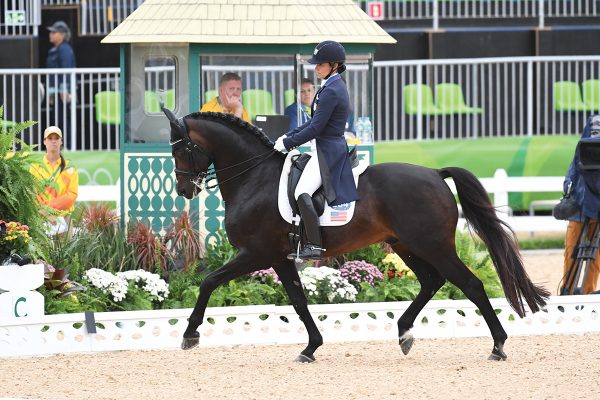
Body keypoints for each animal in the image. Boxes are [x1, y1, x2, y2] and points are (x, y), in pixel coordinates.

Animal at [163, 109, 548, 362]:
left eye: (180, 149)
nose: (184, 189)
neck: (254, 177)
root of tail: (436, 174)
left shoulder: (256, 253)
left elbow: (209, 282)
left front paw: (190, 334)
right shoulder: (279, 258)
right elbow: (299, 301)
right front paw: (311, 347)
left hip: (433, 245)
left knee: (470, 285)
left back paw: (498, 346)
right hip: (405, 244)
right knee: (431, 281)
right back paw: (404, 332)